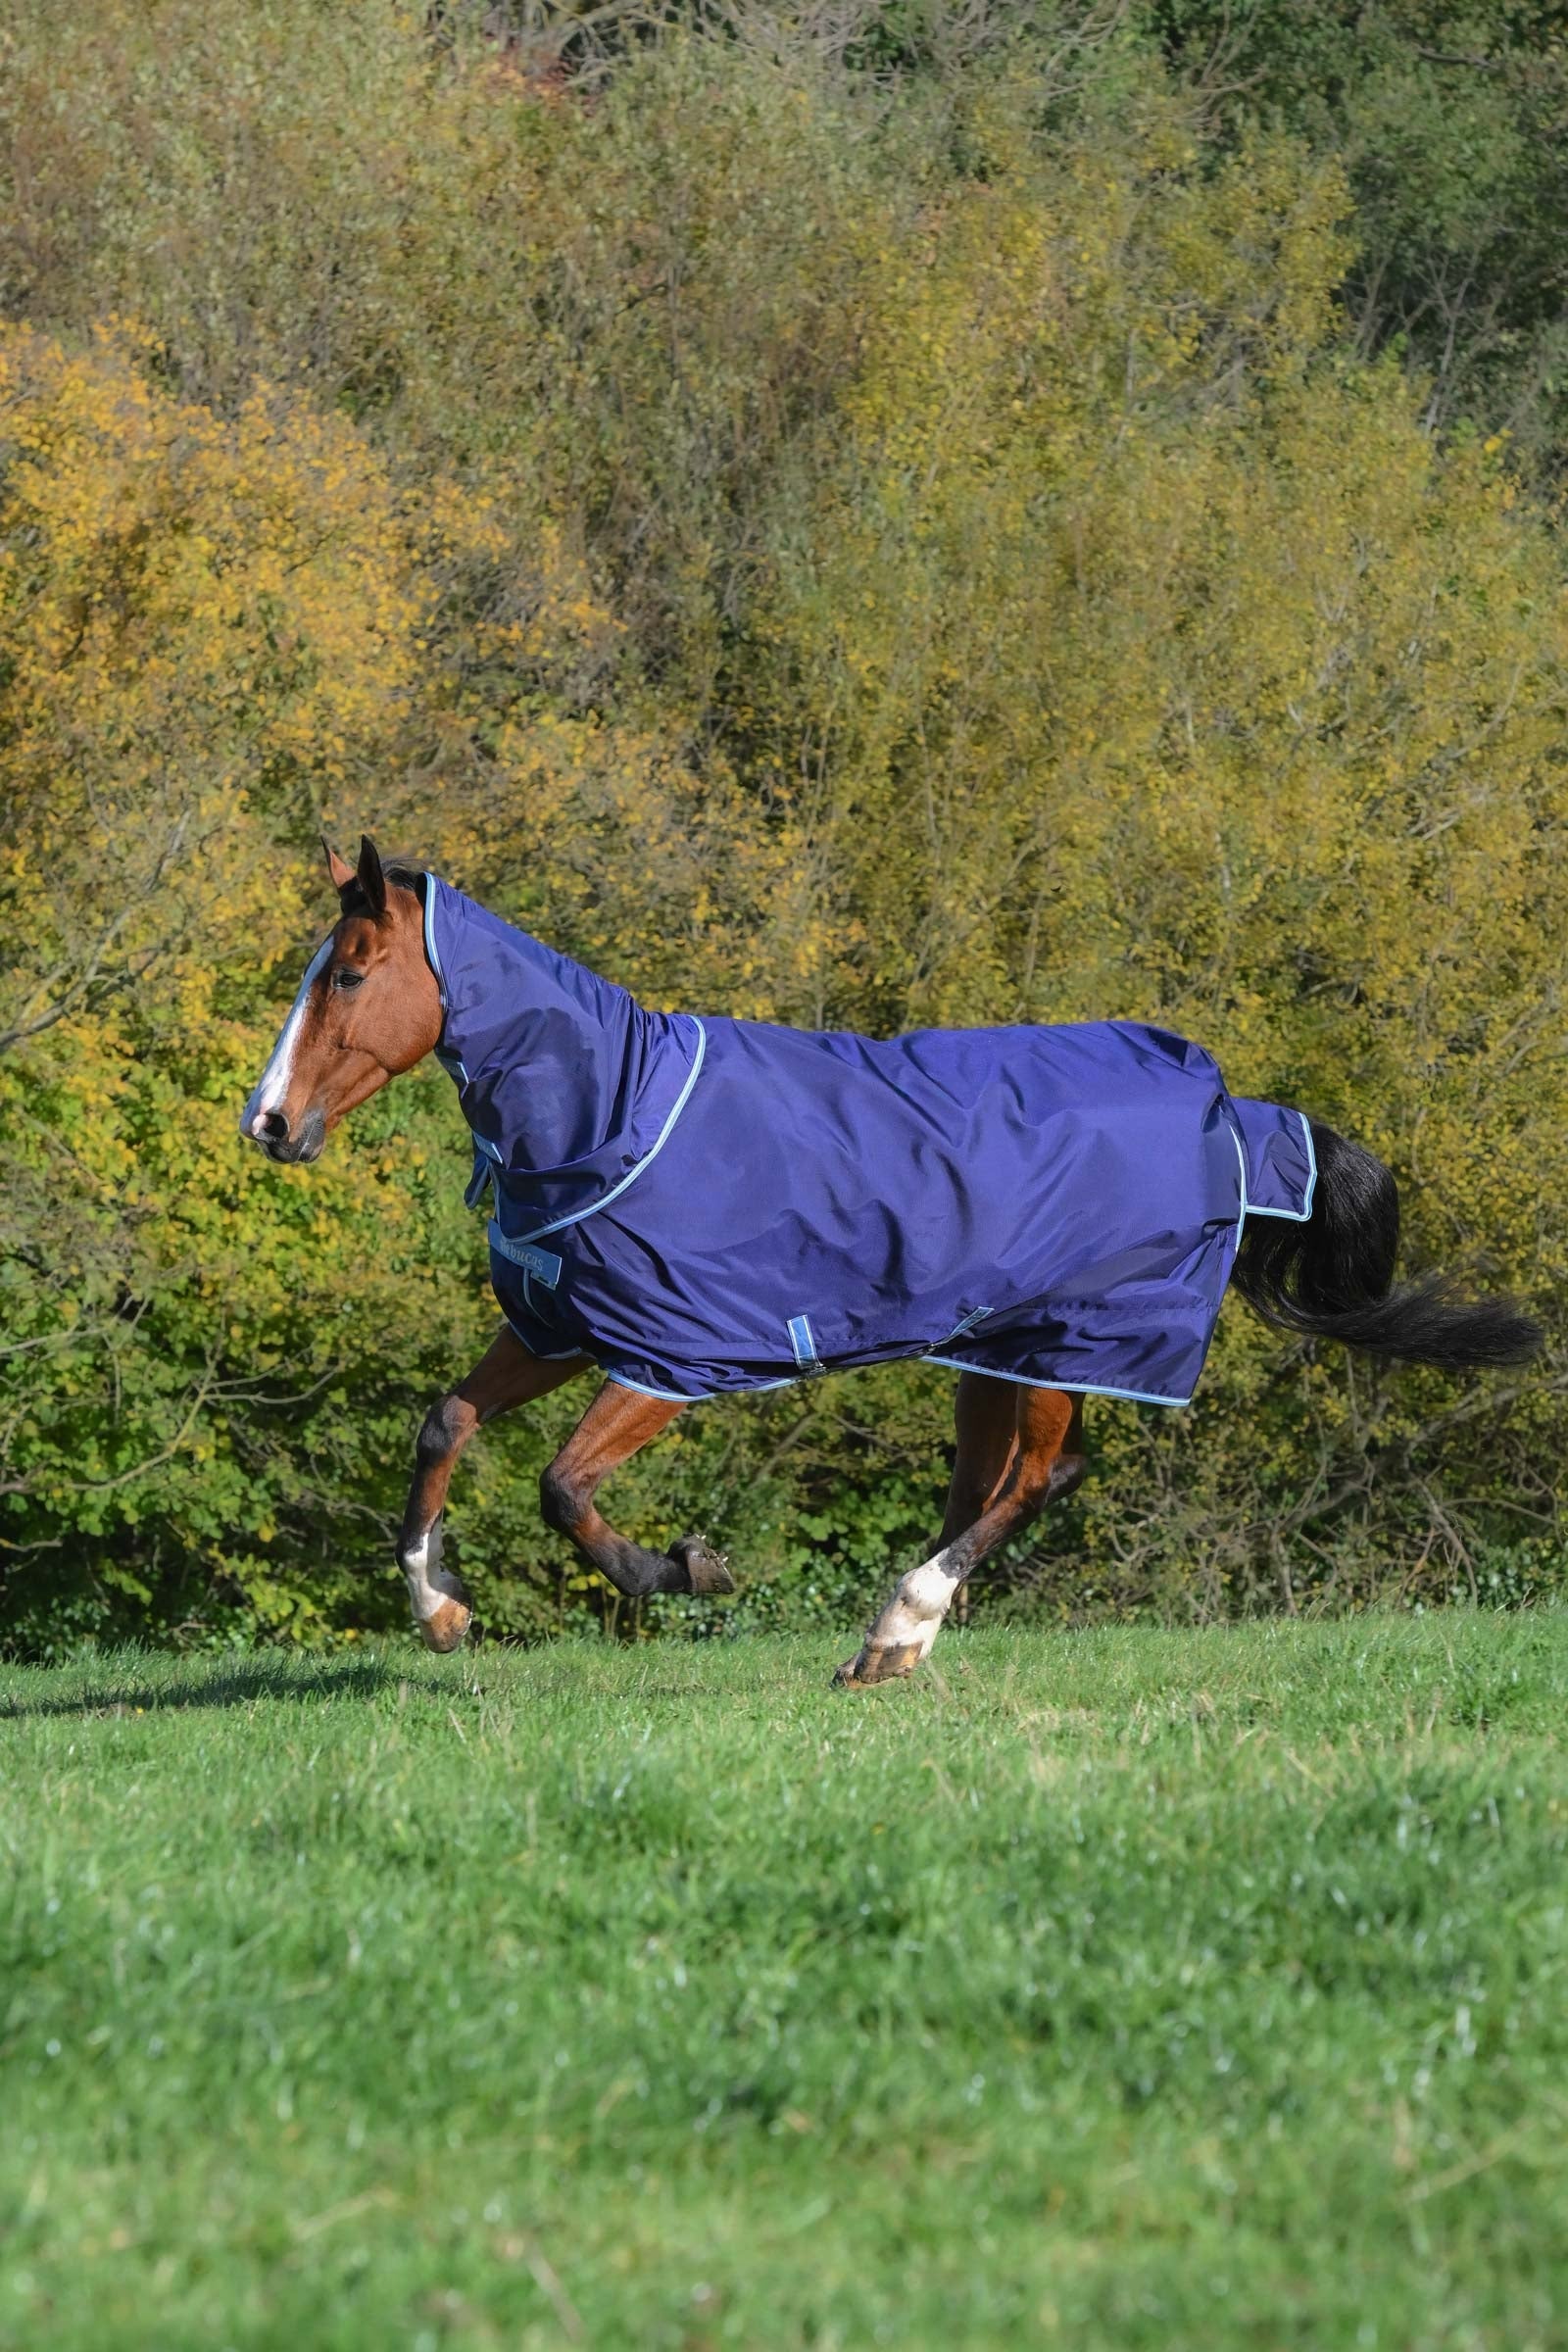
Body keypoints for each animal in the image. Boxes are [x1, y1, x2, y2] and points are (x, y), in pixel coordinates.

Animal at [241, 836, 1538, 1685]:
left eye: (347, 972)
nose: (270, 1125)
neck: (614, 1113)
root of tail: (1232, 1112)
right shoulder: (564, 1326)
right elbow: (445, 1426)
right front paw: (438, 1612)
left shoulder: (673, 1356)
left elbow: (562, 1487)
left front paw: (688, 1571)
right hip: (997, 1350)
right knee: (1014, 1481)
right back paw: (897, 1644)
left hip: (1071, 1341)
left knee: (1029, 1482)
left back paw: (895, 1624)